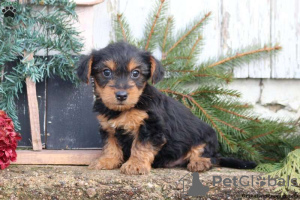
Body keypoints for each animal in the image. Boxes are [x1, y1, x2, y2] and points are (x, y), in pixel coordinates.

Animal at [77, 42, 255, 175]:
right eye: (106, 72)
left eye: (136, 73)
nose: (121, 95)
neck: (125, 109)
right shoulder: (108, 128)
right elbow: (111, 146)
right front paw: (107, 161)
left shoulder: (151, 128)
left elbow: (140, 146)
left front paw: (135, 165)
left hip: (206, 136)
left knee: (210, 155)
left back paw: (199, 162)